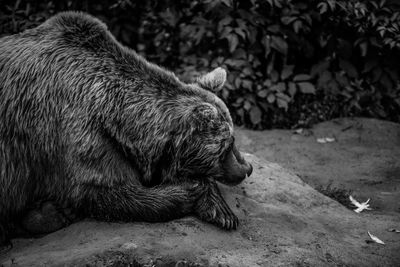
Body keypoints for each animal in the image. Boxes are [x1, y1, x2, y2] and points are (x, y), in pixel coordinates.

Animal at [0, 12, 252, 247]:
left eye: (233, 140)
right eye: (227, 146)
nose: (247, 168)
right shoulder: (74, 133)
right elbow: (104, 191)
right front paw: (205, 198)